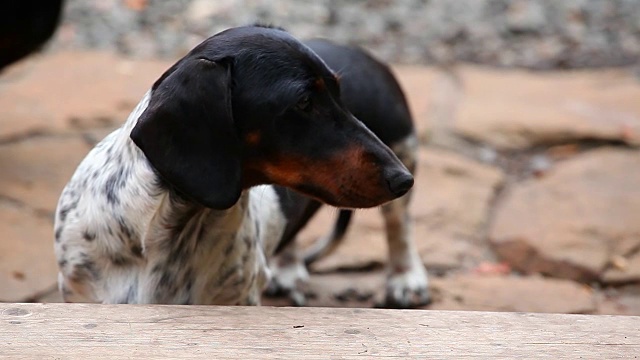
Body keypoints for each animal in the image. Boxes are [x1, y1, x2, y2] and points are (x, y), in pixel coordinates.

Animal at [52, 25, 412, 306]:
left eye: (340, 92)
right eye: (304, 102)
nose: (402, 180)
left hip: (404, 146)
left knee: (399, 228)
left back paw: (406, 280)